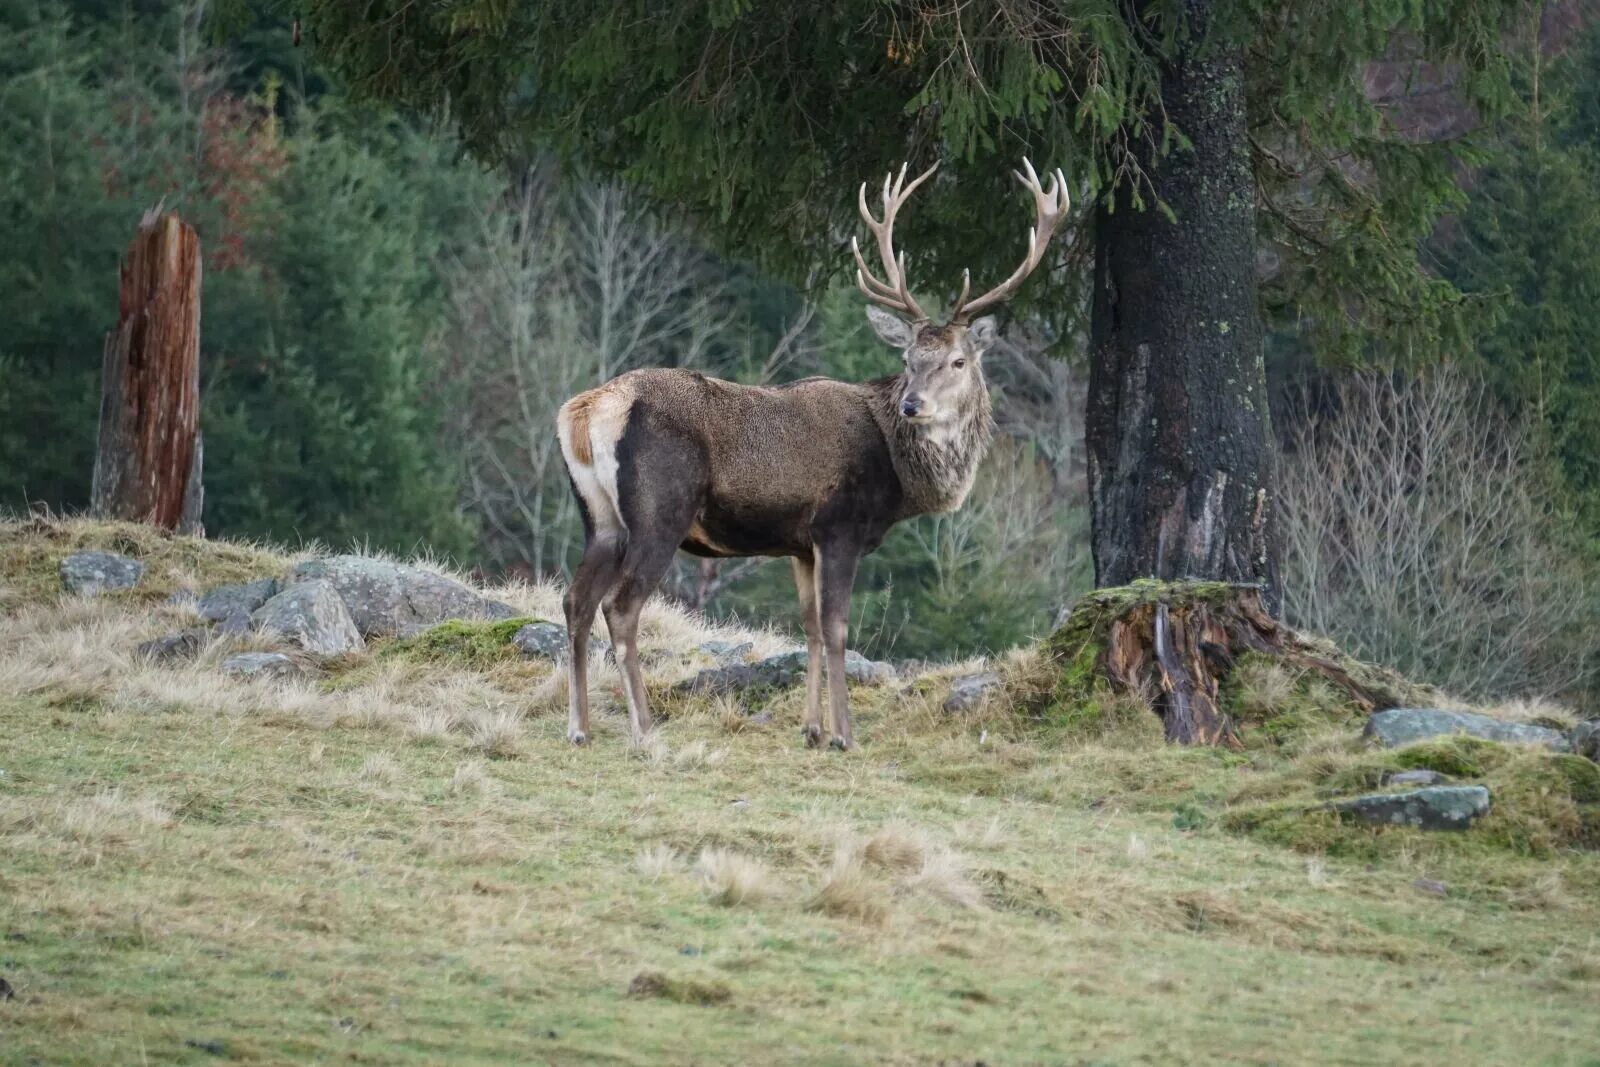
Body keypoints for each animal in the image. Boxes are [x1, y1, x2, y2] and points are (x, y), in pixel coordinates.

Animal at [556, 163, 1068, 755]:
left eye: (957, 361)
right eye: (909, 359)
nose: (913, 404)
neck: (899, 480)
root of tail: (585, 410)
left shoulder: (800, 544)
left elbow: (810, 628)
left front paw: (812, 728)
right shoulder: (839, 525)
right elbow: (838, 626)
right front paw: (846, 734)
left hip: (600, 518)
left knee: (575, 600)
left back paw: (579, 726)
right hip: (660, 510)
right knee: (621, 606)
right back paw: (644, 729)